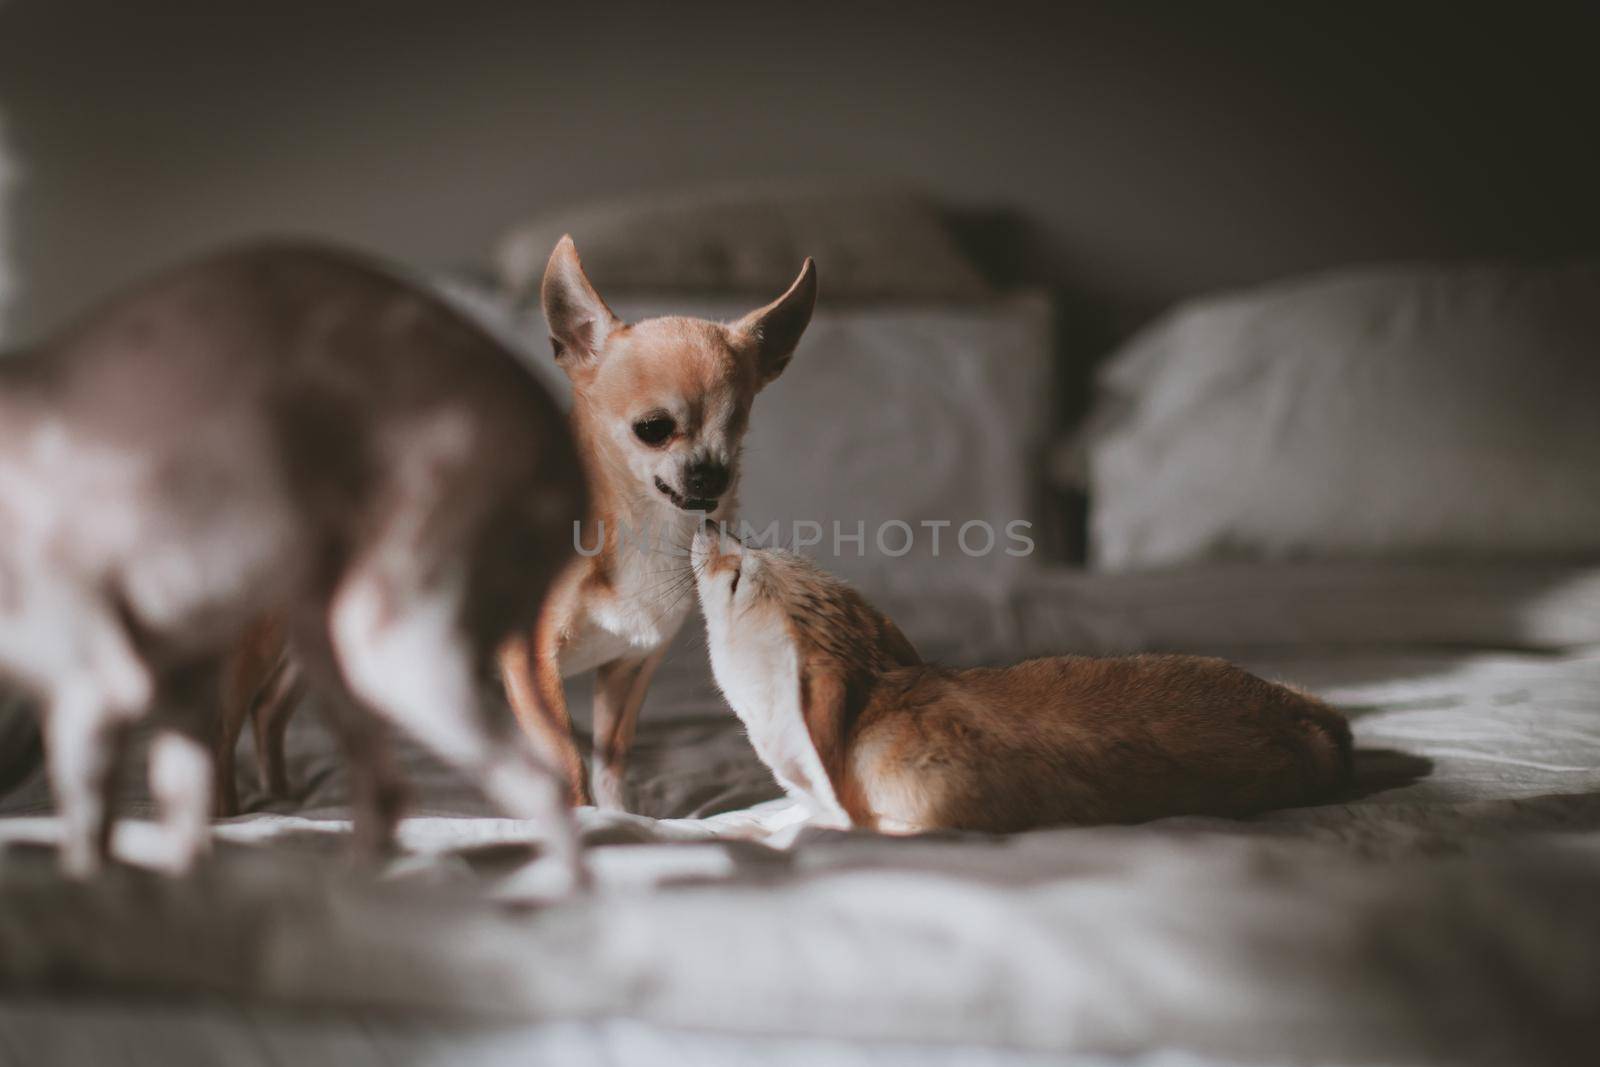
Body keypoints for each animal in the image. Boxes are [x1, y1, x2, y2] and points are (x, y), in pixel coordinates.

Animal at [0, 241, 588, 883]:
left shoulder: (95, 691)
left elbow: (90, 850)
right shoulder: (177, 696)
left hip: (392, 646)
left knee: (533, 780)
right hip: (323, 643)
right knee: (364, 778)